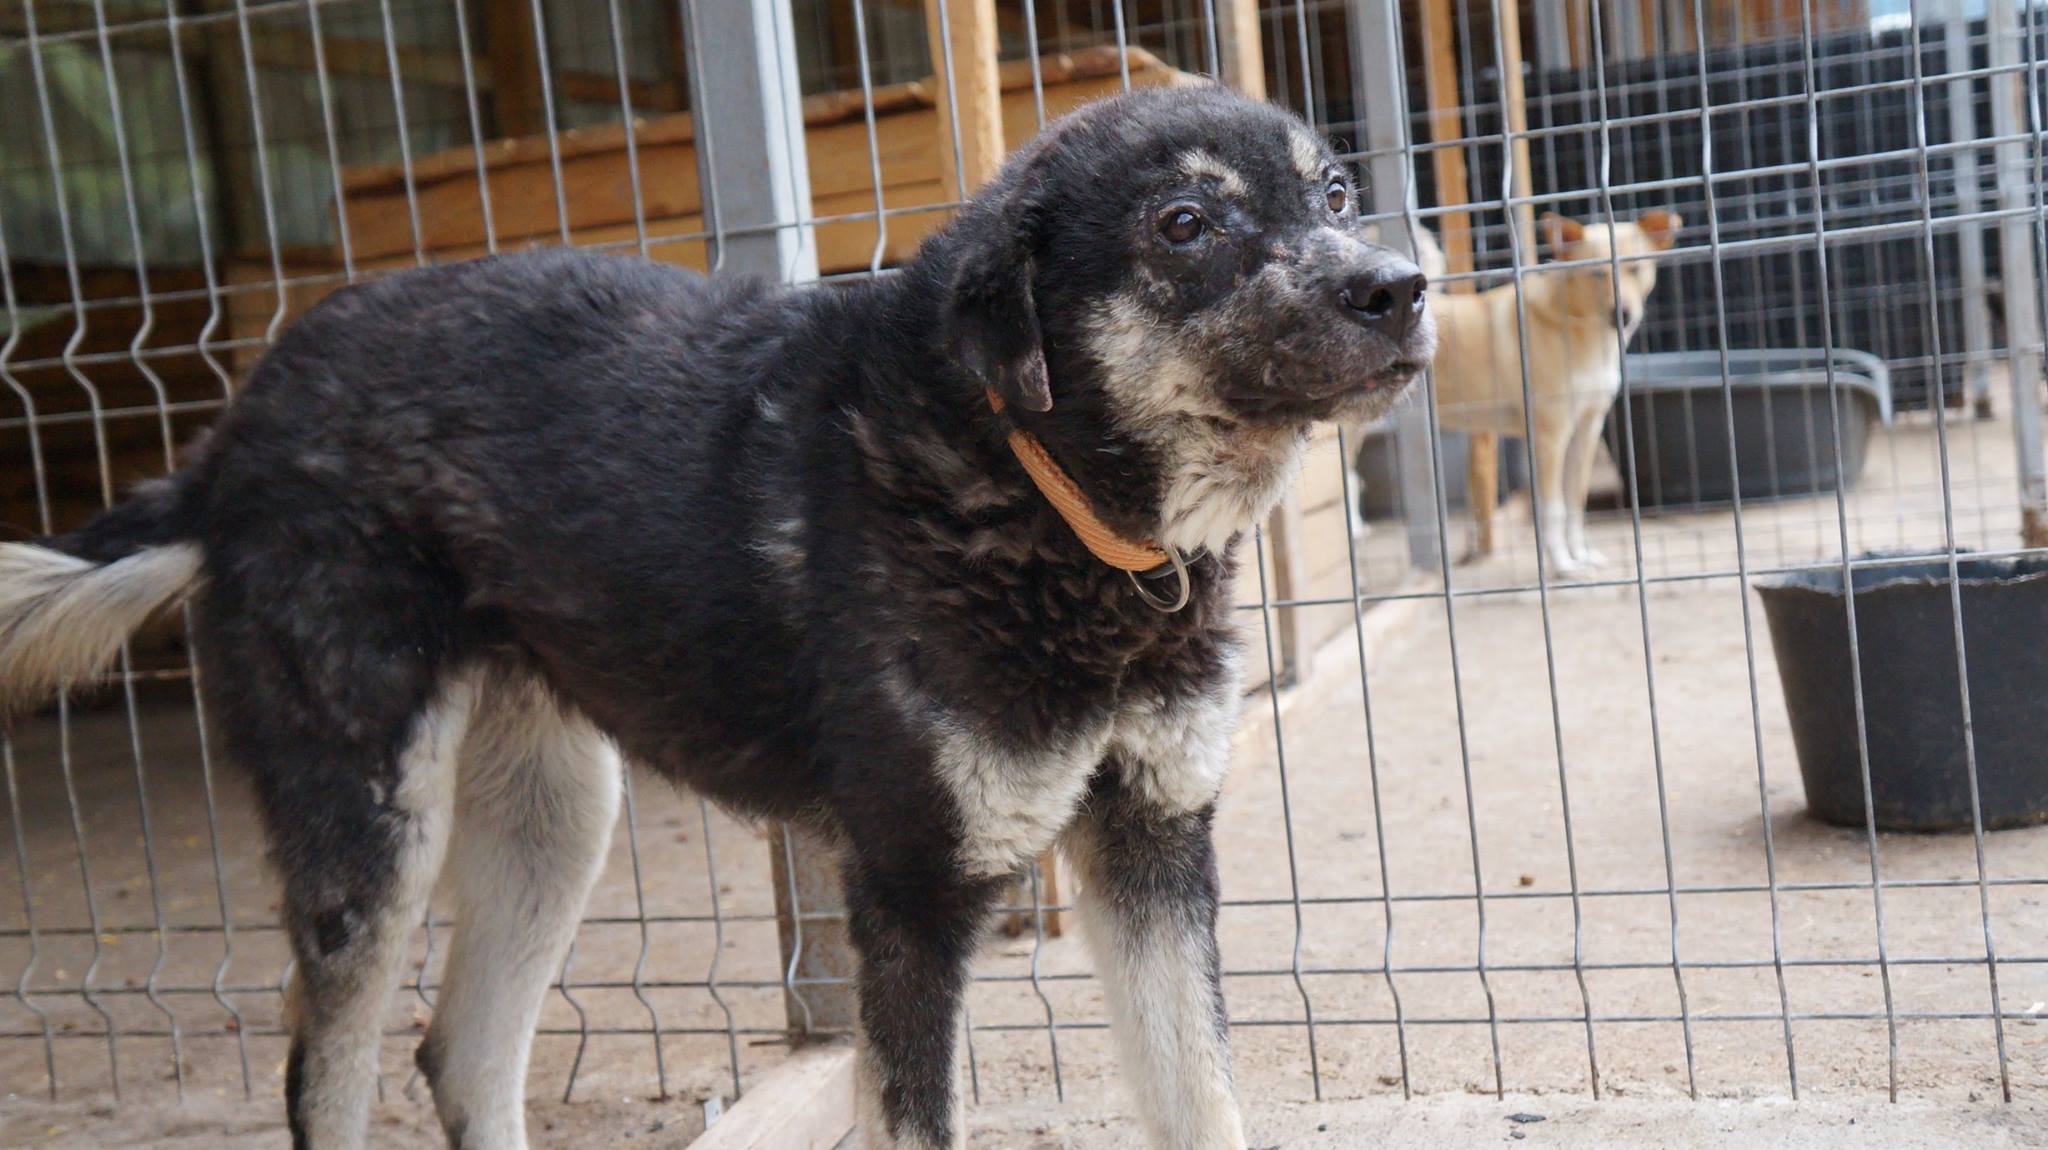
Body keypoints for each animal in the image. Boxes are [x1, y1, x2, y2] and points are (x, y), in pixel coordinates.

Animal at [0, 84, 1433, 1137]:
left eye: (1334, 192)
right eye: (1183, 223)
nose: (1400, 288)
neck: (1042, 486)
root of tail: (232, 429)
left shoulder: (1152, 848)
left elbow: (1204, 1099)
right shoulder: (914, 890)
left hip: (552, 815)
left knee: (458, 1055)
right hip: (371, 827)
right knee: (327, 1077)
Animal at [1351, 210, 1671, 572]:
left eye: (1635, 268)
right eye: (1595, 273)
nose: (1623, 315)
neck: (1576, 329)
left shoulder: (1587, 431)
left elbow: (1575, 502)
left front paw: (1581, 555)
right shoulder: (1550, 438)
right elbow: (1552, 509)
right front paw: (1562, 564)